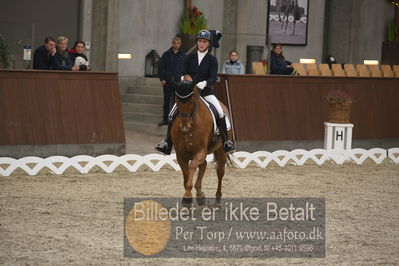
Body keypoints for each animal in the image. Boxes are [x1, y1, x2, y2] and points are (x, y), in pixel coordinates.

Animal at [172, 78, 231, 207]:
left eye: (191, 101)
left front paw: (187, 197)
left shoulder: (200, 151)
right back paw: (200, 195)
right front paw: (190, 197)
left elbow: (192, 166)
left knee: (220, 172)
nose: (184, 127)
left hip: (221, 151)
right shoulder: (181, 155)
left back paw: (217, 200)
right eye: (177, 101)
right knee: (203, 165)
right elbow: (186, 177)